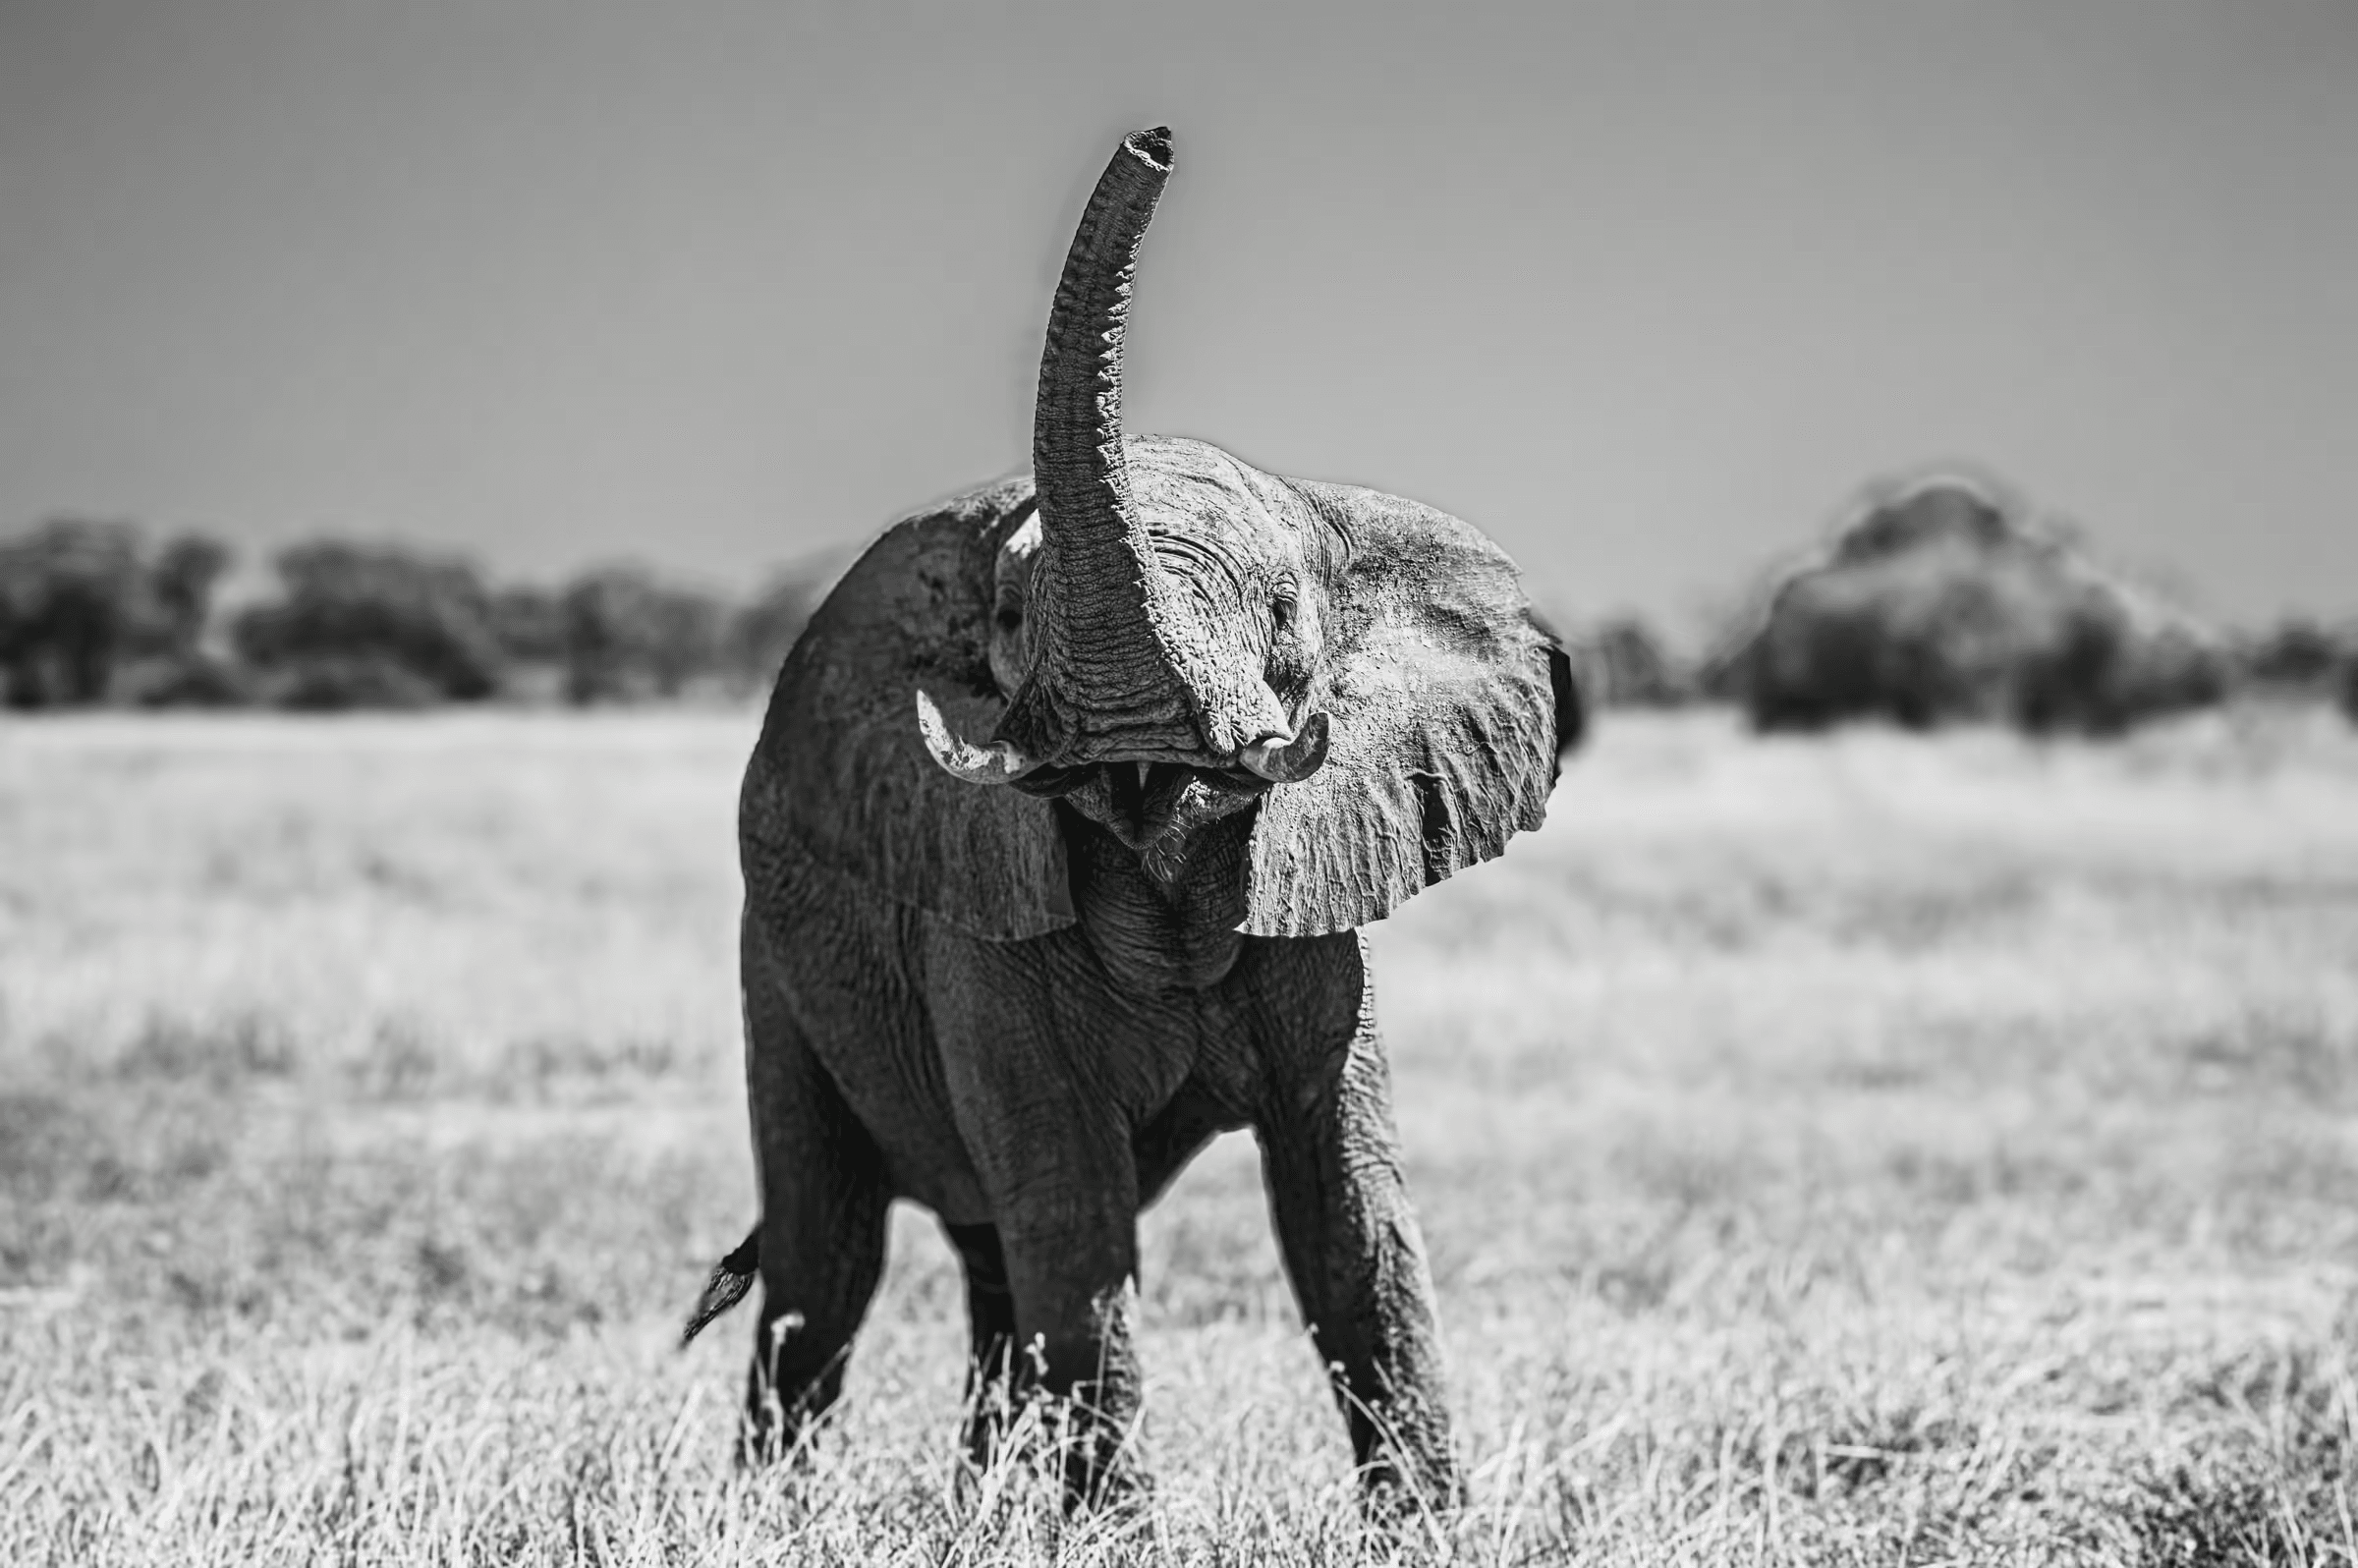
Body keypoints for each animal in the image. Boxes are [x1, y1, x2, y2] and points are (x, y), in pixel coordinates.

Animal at [688, 125, 1575, 1509]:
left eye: (1285, 618)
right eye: (1007, 619)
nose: (1154, 142)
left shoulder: (1313, 903)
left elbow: (1347, 1217)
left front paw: (1429, 1529)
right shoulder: (979, 918)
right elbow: (1075, 1215)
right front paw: (1116, 1529)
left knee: (981, 1267)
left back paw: (985, 1509)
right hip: (774, 968)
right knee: (826, 1261)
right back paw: (781, 1510)